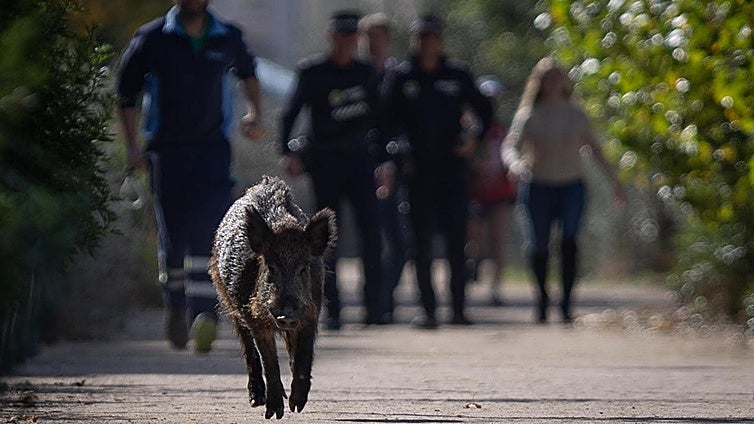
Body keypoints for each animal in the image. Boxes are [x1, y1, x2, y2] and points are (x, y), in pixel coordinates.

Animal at [209, 176, 336, 419]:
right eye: (271, 267)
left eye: (303, 269)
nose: (286, 315)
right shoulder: (255, 319)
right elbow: (269, 362)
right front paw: (274, 413)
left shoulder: (311, 313)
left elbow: (303, 356)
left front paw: (297, 405)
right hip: (228, 301)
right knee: (250, 351)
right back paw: (256, 399)